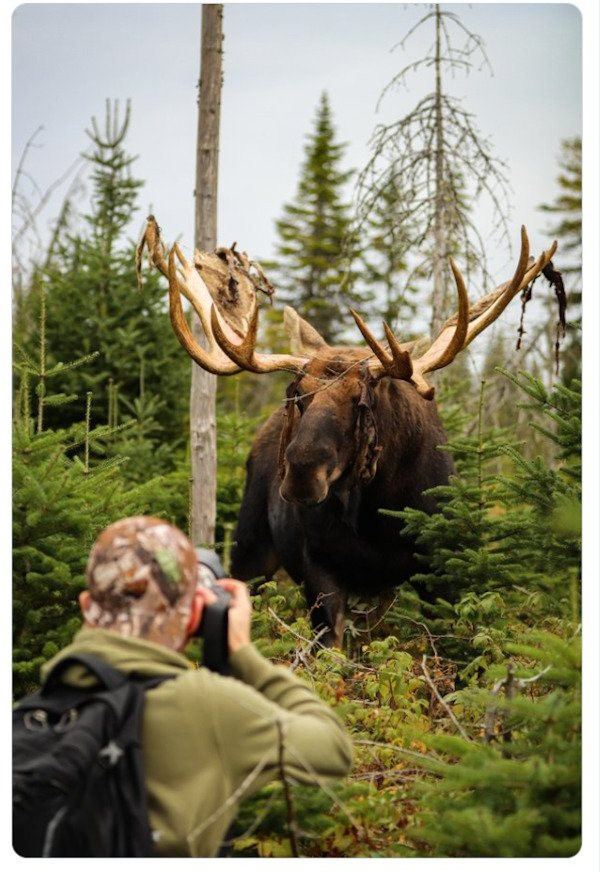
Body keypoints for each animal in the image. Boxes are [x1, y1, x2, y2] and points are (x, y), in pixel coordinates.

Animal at [139, 221, 556, 648]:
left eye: (362, 400)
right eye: (298, 395)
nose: (302, 472)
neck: (377, 513)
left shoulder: (438, 566)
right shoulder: (319, 565)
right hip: (249, 544)